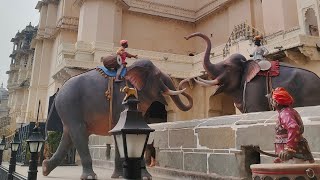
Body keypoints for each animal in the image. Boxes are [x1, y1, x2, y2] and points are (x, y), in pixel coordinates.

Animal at [42, 58, 192, 179]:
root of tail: (58, 92)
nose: (184, 83)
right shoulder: (122, 100)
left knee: (68, 136)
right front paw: (145, 177)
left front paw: (119, 176)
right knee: (78, 133)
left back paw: (45, 168)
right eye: (158, 76)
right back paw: (89, 177)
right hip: (70, 106)